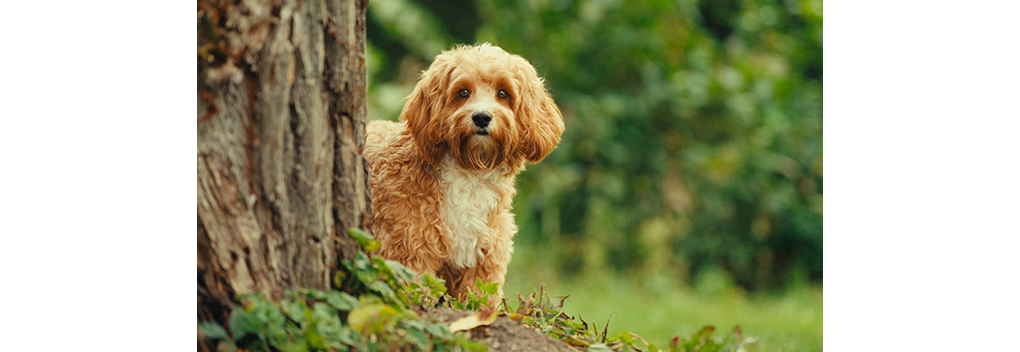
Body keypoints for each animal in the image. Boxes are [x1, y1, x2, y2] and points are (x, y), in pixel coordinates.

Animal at [363, 43, 567, 302]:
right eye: (463, 92)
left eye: (503, 93)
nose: (481, 117)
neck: (470, 171)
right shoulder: (409, 250)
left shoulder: (484, 259)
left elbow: (480, 300)